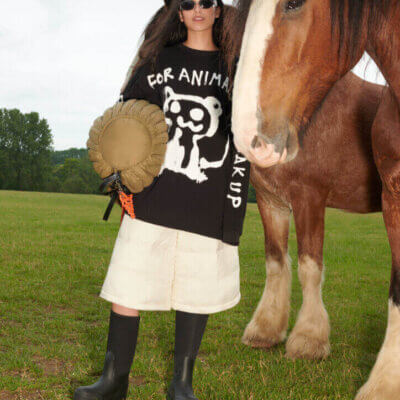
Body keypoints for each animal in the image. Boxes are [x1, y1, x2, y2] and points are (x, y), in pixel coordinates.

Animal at [231, 0, 400, 398]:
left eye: (294, 4)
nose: (249, 135)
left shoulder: (310, 197)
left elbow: (310, 265)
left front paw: (308, 339)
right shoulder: (271, 200)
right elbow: (277, 260)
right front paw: (266, 330)